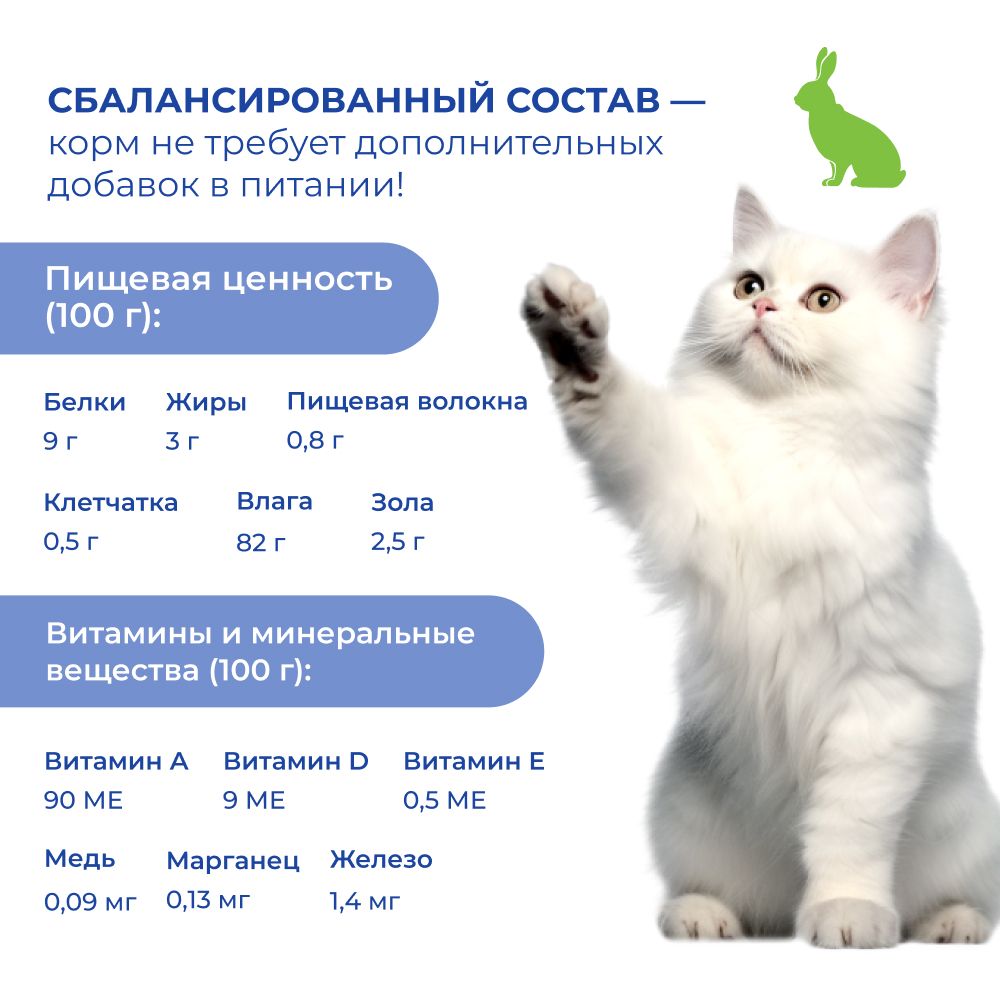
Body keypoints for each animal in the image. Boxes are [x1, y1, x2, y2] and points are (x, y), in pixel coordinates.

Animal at [794, 47, 906, 188]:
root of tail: (897, 174)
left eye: (811, 91)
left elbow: (839, 170)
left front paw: (833, 183)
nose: (795, 99)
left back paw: (858, 182)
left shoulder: (841, 158)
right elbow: (833, 169)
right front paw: (828, 181)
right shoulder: (833, 161)